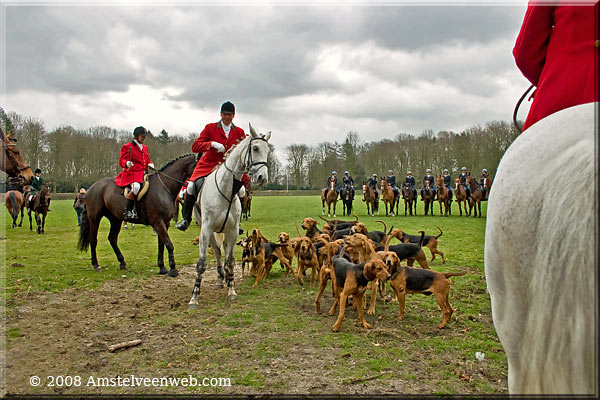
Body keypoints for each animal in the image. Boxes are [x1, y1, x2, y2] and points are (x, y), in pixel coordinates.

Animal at [189, 123, 270, 308]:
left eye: (268, 151)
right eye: (255, 148)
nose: (262, 178)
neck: (226, 188)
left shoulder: (232, 230)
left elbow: (231, 260)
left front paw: (232, 290)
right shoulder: (206, 230)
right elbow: (201, 263)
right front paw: (194, 297)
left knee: (224, 253)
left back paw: (226, 278)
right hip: (210, 232)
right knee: (218, 252)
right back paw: (220, 278)